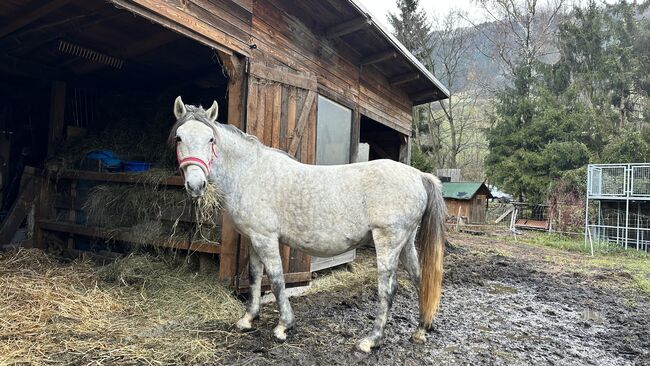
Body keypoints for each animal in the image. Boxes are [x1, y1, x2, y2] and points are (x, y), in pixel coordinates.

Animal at [170, 96, 442, 352]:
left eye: (211, 140)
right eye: (179, 138)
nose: (196, 185)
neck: (250, 173)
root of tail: (419, 175)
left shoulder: (266, 239)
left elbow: (276, 279)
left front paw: (283, 326)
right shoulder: (253, 238)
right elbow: (255, 276)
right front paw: (248, 318)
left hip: (388, 242)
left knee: (388, 289)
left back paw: (371, 340)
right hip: (406, 243)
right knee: (419, 277)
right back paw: (420, 330)